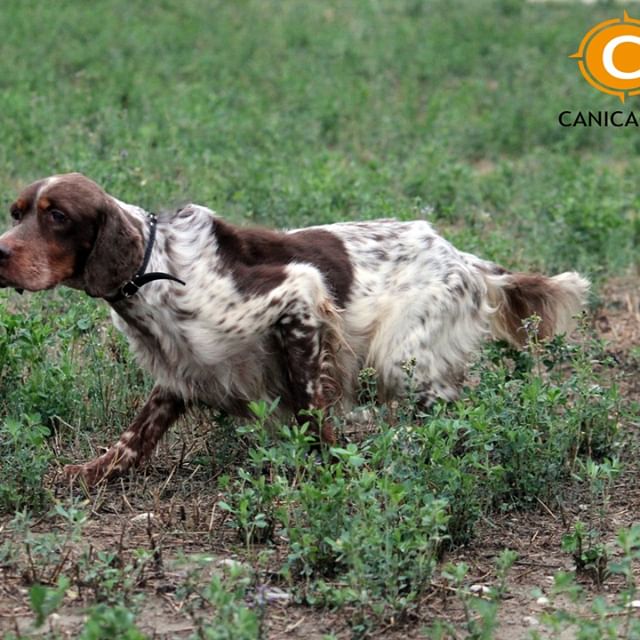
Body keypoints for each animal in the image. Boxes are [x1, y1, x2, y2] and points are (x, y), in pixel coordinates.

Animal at [0, 172, 592, 482]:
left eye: (57, 216)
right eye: (17, 212)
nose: (0, 253)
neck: (156, 266)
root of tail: (467, 259)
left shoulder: (297, 300)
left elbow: (312, 411)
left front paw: (334, 472)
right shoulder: (181, 368)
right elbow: (133, 437)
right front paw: (86, 472)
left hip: (403, 358)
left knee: (454, 417)